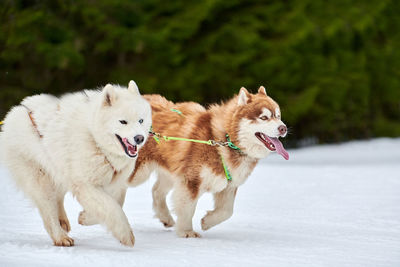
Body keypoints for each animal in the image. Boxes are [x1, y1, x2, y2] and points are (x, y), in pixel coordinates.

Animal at [0, 81, 152, 247]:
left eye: (141, 120)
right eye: (123, 121)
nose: (139, 138)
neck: (95, 140)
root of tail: (14, 114)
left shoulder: (114, 184)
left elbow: (116, 203)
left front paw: (85, 217)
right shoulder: (86, 185)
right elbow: (111, 207)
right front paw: (125, 234)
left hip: (60, 171)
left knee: (58, 199)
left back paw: (62, 220)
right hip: (40, 181)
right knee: (48, 213)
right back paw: (61, 237)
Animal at [128, 87, 288, 239]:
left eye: (278, 116)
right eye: (264, 117)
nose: (283, 128)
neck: (225, 140)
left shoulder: (229, 185)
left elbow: (227, 211)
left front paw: (207, 221)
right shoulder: (191, 181)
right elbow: (188, 208)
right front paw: (186, 232)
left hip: (170, 171)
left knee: (156, 190)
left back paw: (165, 217)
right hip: (138, 173)